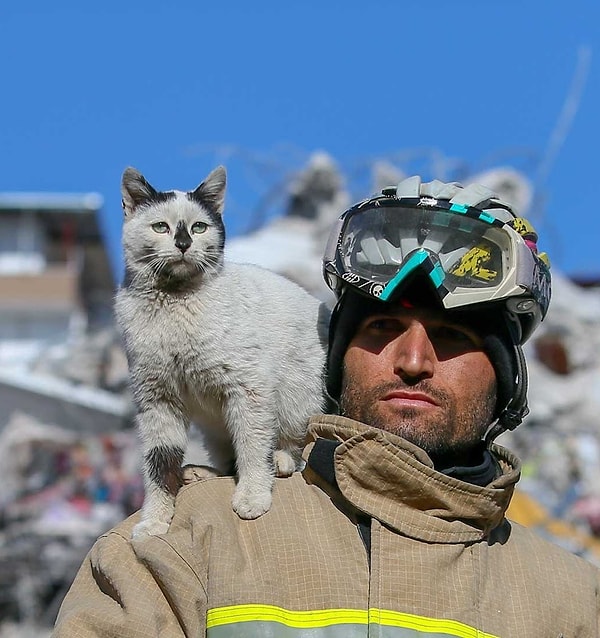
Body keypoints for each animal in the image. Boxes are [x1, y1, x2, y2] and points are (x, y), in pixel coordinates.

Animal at [116, 166, 332, 540]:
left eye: (199, 227)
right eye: (161, 227)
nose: (183, 244)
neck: (175, 302)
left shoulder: (249, 389)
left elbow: (251, 445)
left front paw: (253, 496)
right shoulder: (156, 400)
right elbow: (159, 465)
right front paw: (155, 521)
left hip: (297, 399)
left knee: (294, 443)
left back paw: (280, 460)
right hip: (214, 426)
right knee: (224, 460)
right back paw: (198, 472)